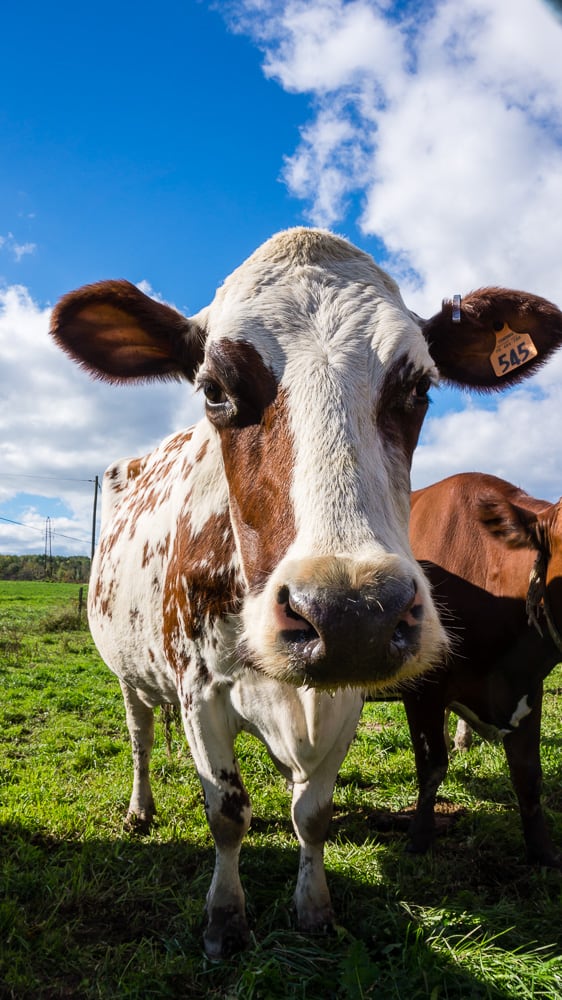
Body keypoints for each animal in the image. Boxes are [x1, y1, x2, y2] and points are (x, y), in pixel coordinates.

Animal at [405, 472, 562, 867]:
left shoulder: (527, 686)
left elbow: (528, 774)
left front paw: (543, 851)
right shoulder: (423, 686)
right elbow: (432, 766)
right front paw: (419, 841)